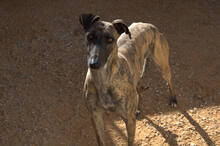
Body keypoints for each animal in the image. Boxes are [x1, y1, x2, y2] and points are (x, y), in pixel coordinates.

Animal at [79, 13, 177, 145]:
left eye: (110, 40)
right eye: (90, 37)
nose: (94, 64)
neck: (104, 80)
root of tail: (147, 24)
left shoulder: (129, 120)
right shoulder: (95, 116)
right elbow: (101, 140)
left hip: (162, 65)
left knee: (169, 81)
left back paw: (173, 99)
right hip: (137, 73)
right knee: (138, 88)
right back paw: (138, 107)